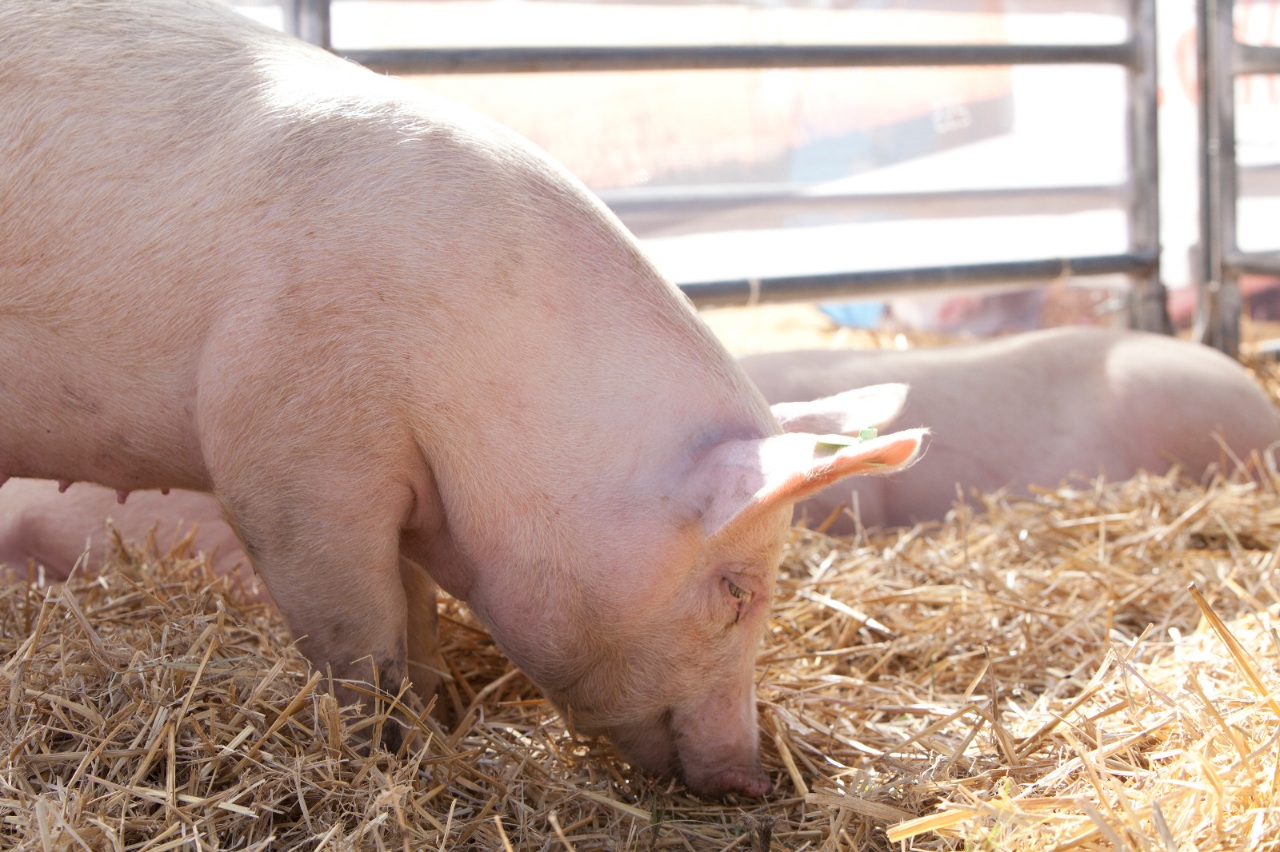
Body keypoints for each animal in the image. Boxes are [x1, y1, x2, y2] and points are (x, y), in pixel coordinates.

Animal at [0, 1, 926, 798]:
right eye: (736, 592)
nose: (753, 777)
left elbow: (416, 615)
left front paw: (437, 717)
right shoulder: (289, 462)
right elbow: (359, 635)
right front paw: (384, 749)